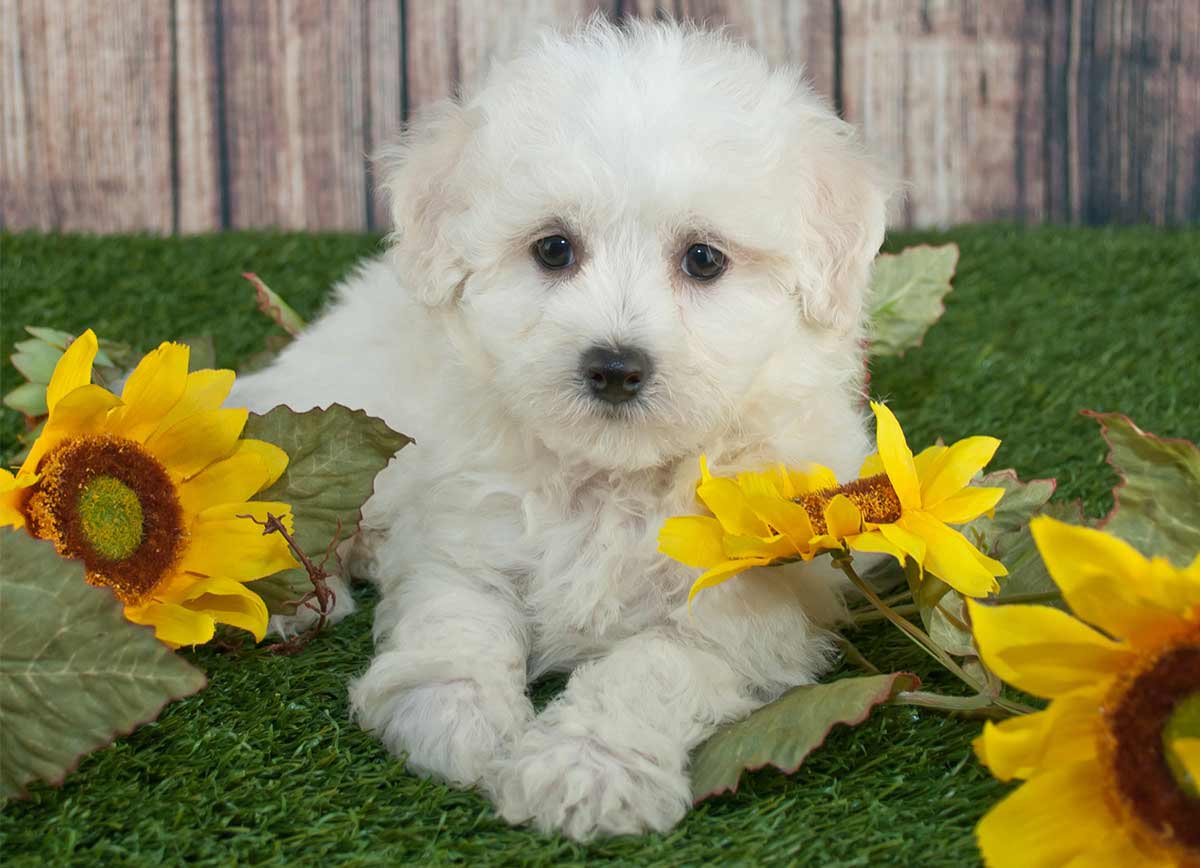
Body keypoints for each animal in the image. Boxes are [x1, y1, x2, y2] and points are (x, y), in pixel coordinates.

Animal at [236, 15, 892, 840]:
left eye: (703, 260)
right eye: (553, 248)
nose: (614, 366)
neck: (614, 476)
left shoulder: (748, 606)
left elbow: (652, 668)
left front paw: (585, 767)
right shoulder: (461, 529)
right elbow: (458, 613)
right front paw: (451, 712)